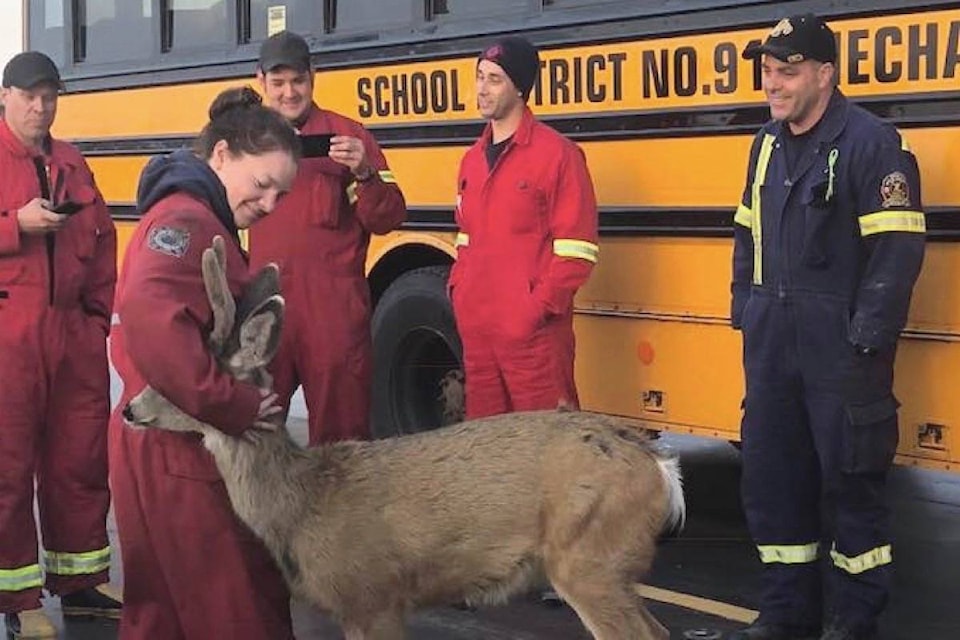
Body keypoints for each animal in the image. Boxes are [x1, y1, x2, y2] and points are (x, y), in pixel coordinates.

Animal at [124, 236, 684, 640]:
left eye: (177, 376)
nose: (130, 408)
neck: (304, 503)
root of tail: (661, 470)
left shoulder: (370, 594)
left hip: (590, 556)